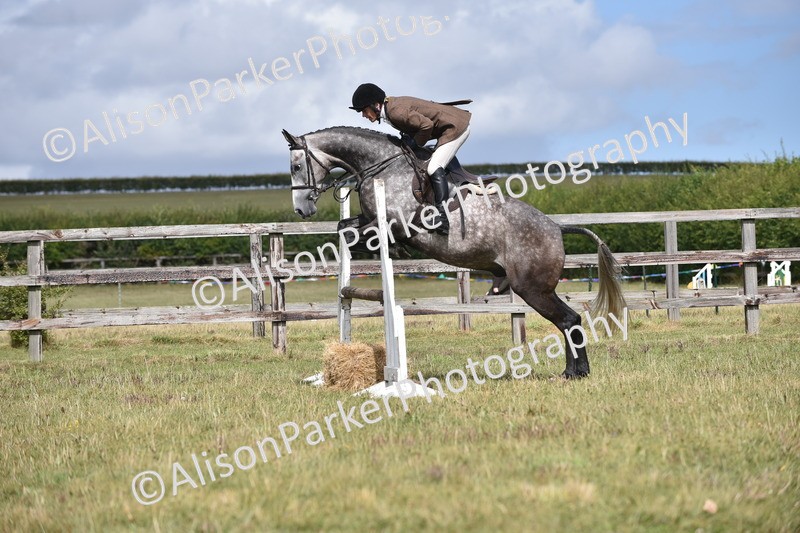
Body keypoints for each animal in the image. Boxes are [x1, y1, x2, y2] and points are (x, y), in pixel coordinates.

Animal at [281, 126, 625, 378]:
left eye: (297, 166)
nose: (301, 209)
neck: (381, 166)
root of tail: (556, 228)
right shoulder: (368, 219)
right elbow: (345, 226)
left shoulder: (396, 223)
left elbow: (374, 235)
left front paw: (394, 249)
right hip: (537, 288)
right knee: (571, 319)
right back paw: (574, 371)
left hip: (533, 288)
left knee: (568, 319)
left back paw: (575, 372)